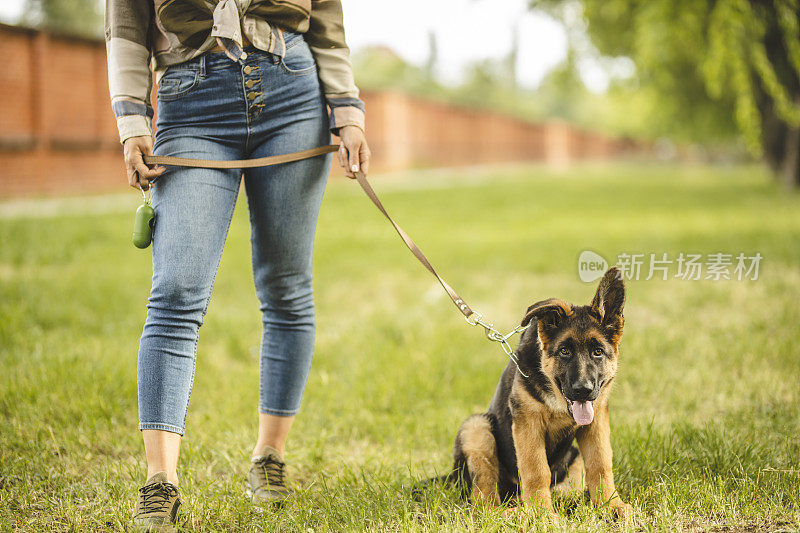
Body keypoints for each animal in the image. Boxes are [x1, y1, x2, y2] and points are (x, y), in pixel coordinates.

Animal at [446, 268, 628, 512]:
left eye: (598, 352)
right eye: (564, 351)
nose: (583, 390)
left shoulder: (595, 419)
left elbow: (600, 464)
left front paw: (612, 505)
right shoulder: (528, 423)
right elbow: (536, 470)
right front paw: (541, 513)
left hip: (573, 456)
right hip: (476, 428)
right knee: (484, 499)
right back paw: (510, 510)